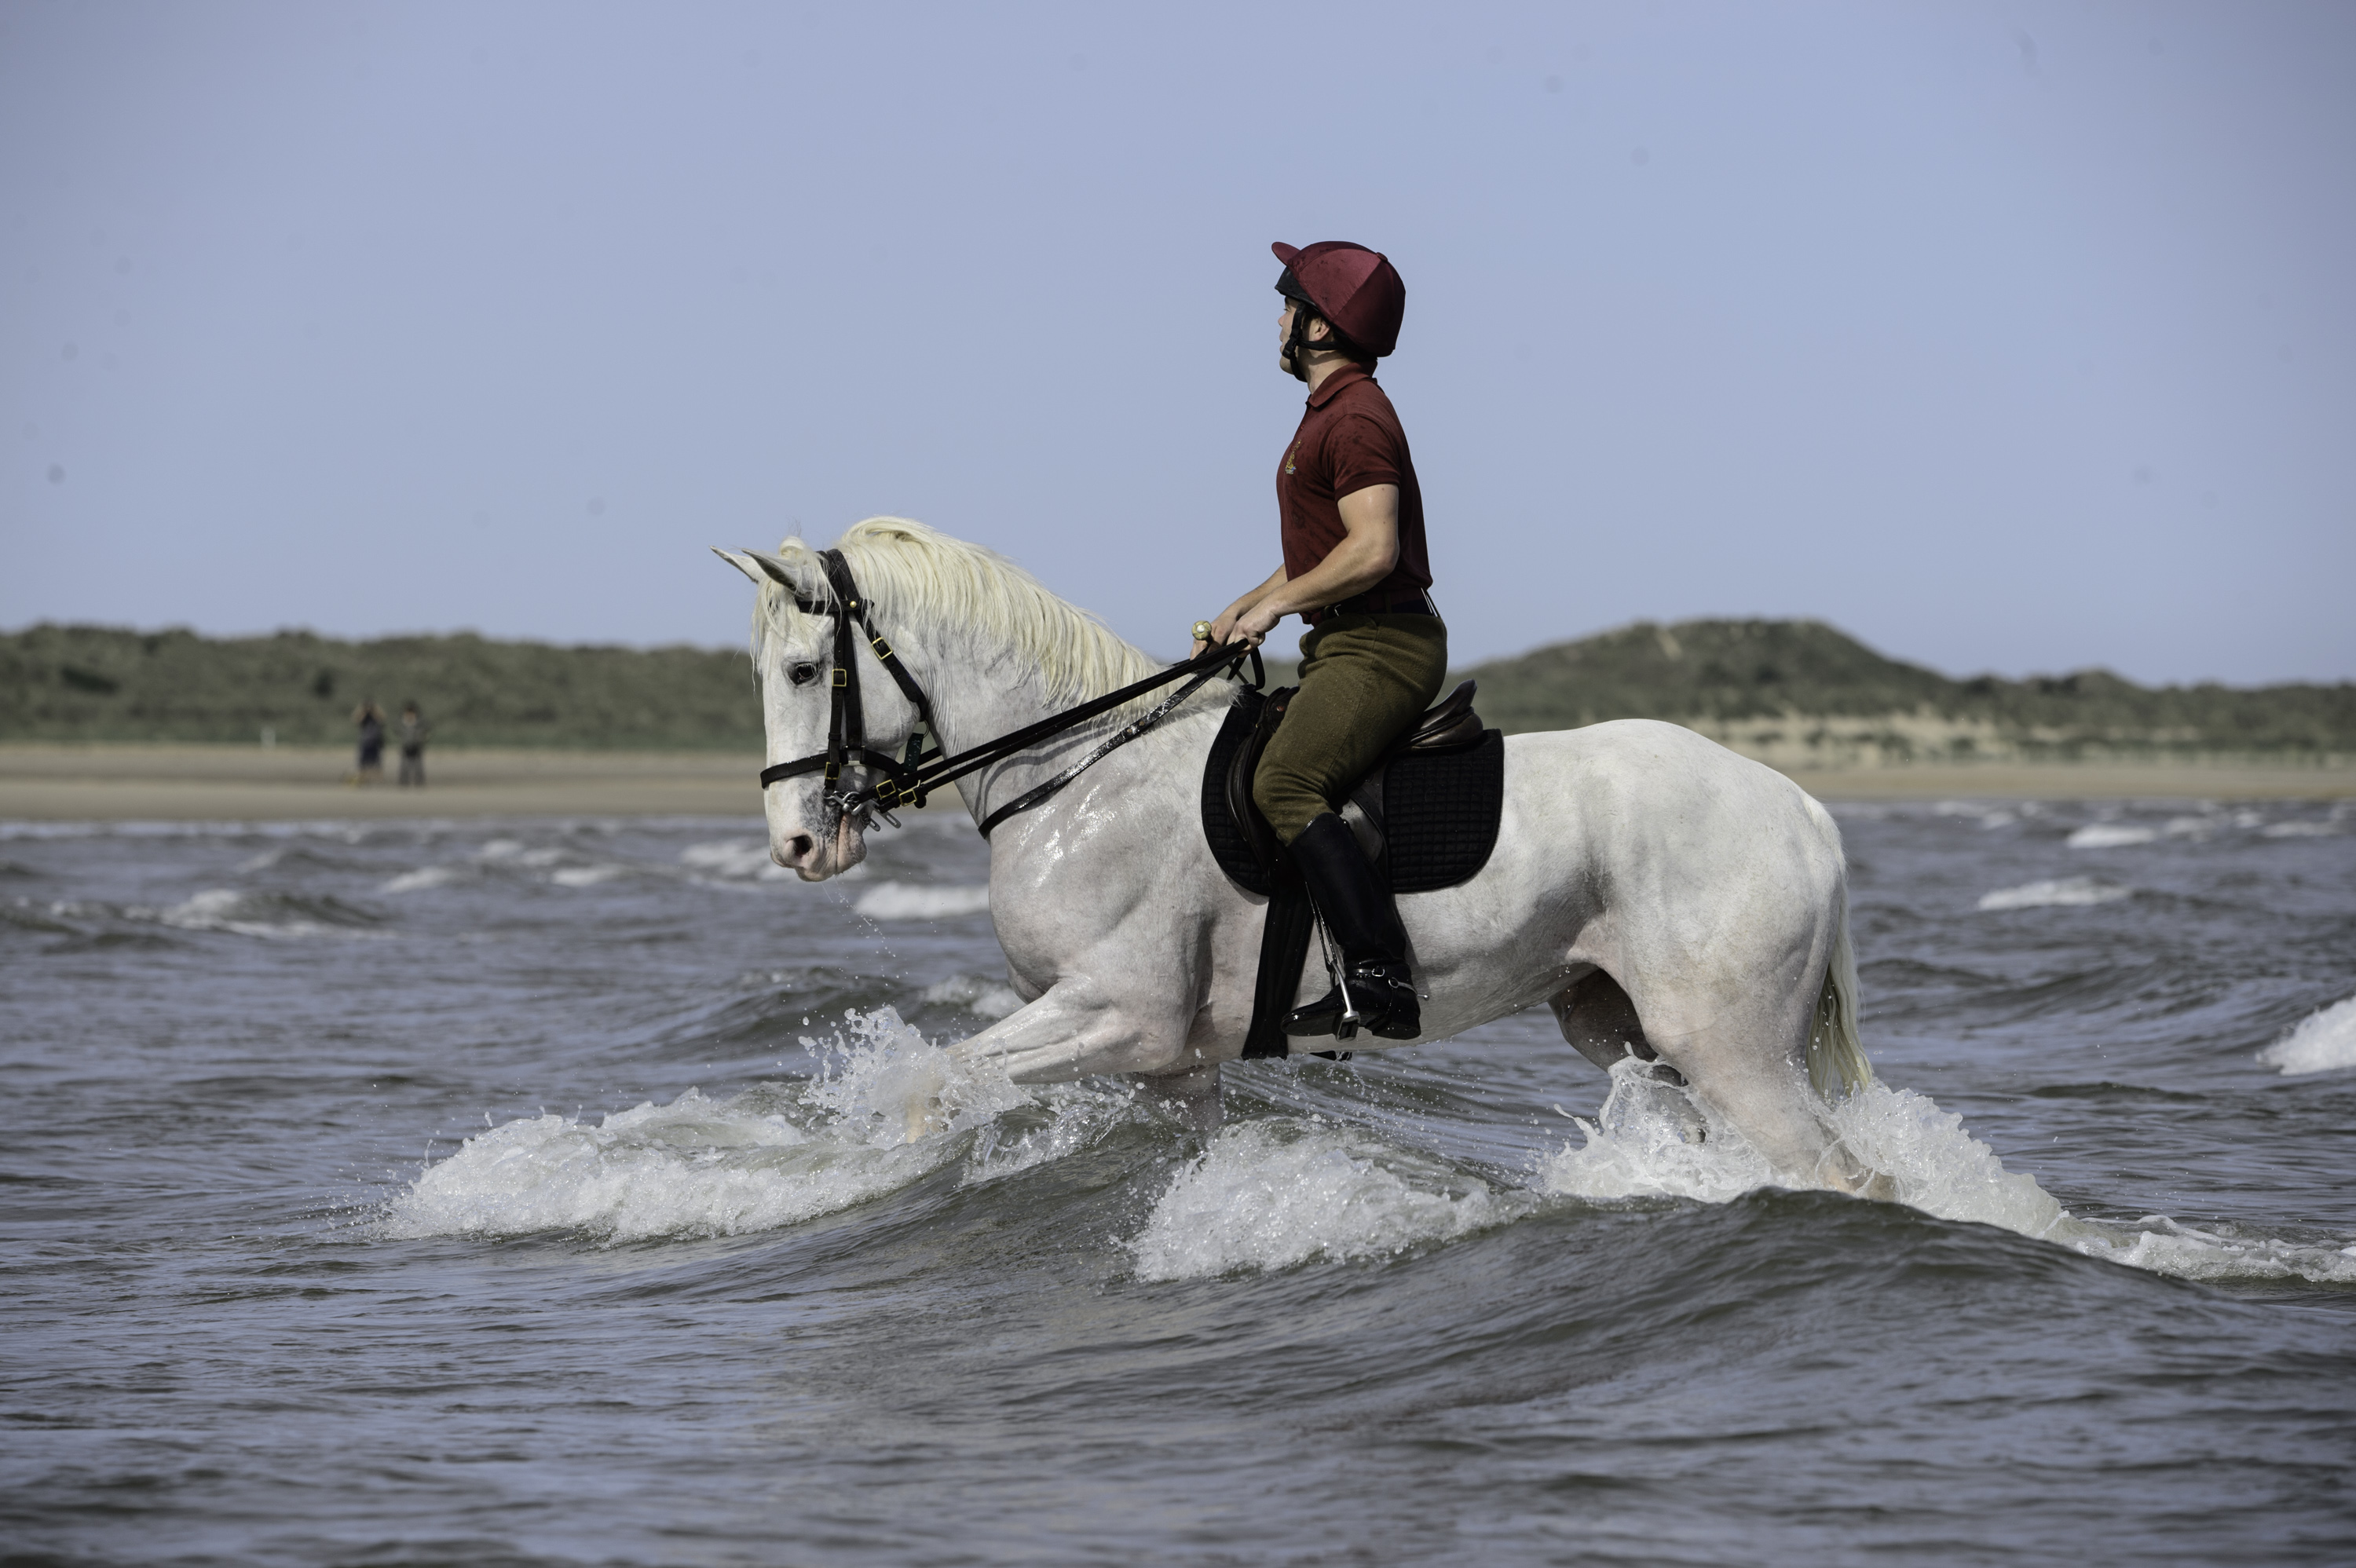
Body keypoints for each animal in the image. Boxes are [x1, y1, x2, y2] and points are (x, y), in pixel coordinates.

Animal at [716, 517, 1888, 1195]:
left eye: (805, 668)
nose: (798, 843)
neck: (1078, 772)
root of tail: (1800, 807)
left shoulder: (1118, 1013)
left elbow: (934, 1080)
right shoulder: (1172, 1065)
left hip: (1735, 1050)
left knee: (1845, 1174)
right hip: (1625, 1027)